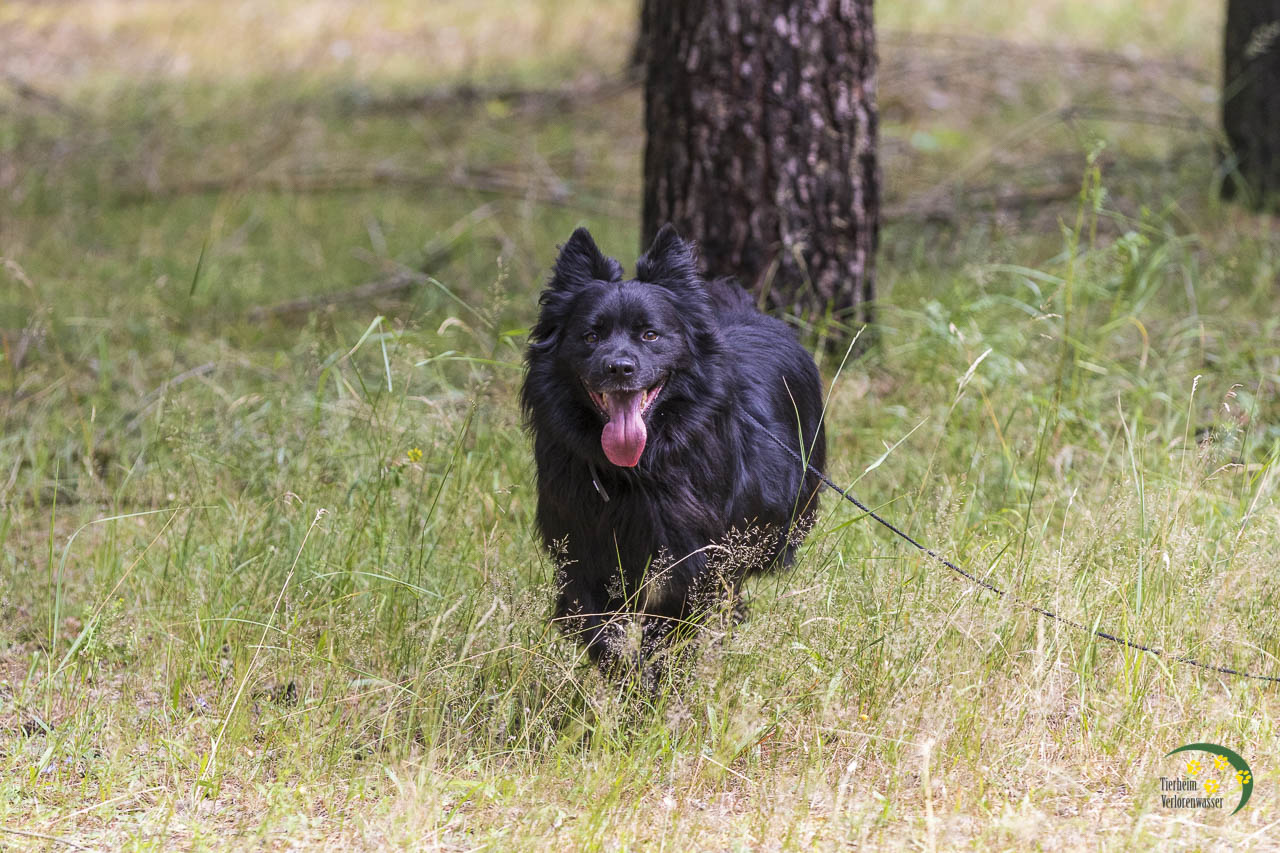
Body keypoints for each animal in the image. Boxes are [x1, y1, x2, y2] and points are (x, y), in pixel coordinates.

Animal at [521, 225, 826, 679]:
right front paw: (628, 683)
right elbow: (598, 632)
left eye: (650, 334)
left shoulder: (690, 564)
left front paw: (657, 687)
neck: (633, 472)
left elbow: (668, 635)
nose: (619, 368)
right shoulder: (581, 555)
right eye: (591, 336)